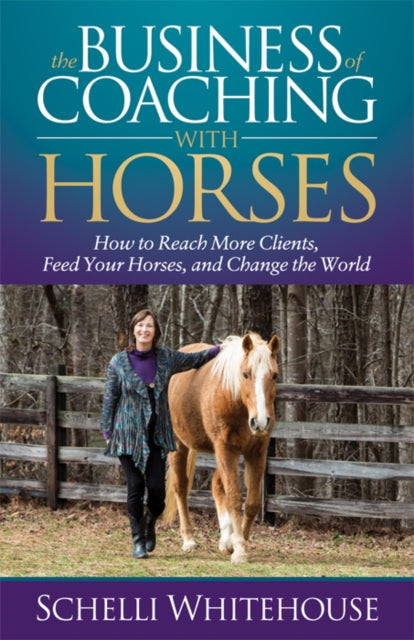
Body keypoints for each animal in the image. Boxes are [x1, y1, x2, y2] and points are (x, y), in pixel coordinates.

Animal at [164, 332, 280, 563]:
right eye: (245, 374)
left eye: (274, 376)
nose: (260, 422)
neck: (236, 400)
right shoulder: (226, 451)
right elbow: (234, 499)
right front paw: (240, 549)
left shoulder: (256, 453)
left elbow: (252, 503)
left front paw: (235, 542)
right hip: (180, 445)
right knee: (181, 487)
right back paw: (188, 539)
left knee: (217, 485)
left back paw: (225, 538)